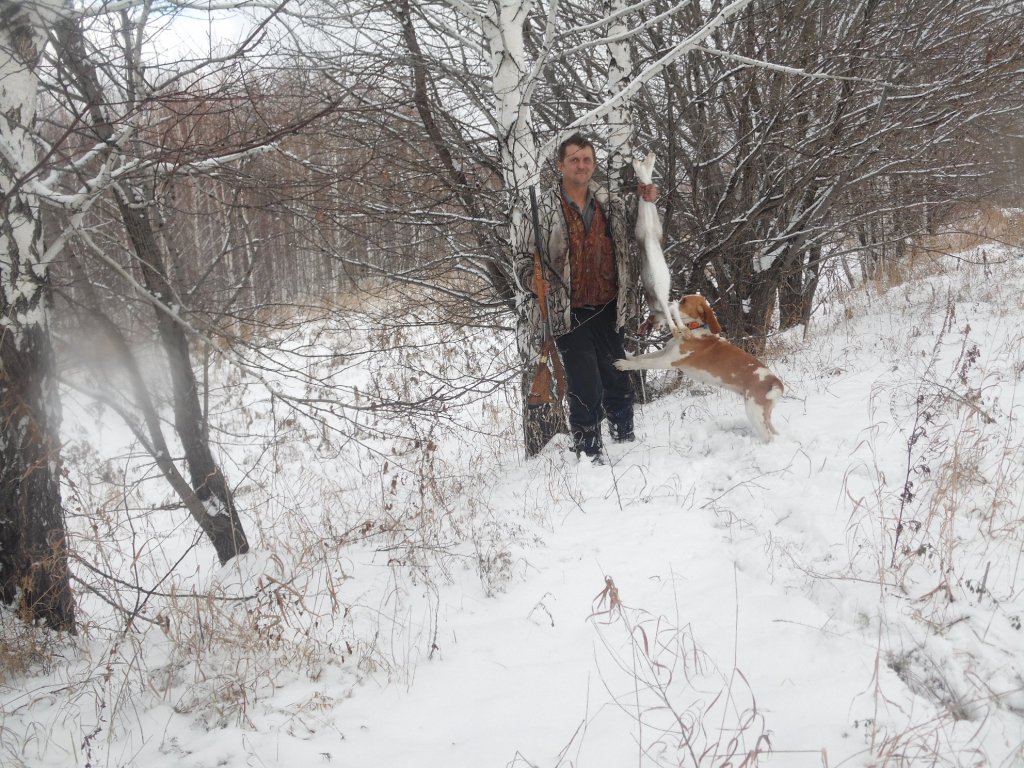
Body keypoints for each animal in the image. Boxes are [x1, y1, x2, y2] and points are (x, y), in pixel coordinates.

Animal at [615, 295, 784, 441]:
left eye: (683, 301)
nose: (664, 305)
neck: (694, 330)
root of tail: (775, 382)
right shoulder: (665, 352)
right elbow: (641, 358)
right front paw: (628, 355)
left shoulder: (668, 361)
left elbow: (642, 363)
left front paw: (624, 364)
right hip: (763, 414)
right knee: (774, 431)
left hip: (754, 411)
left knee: (769, 437)